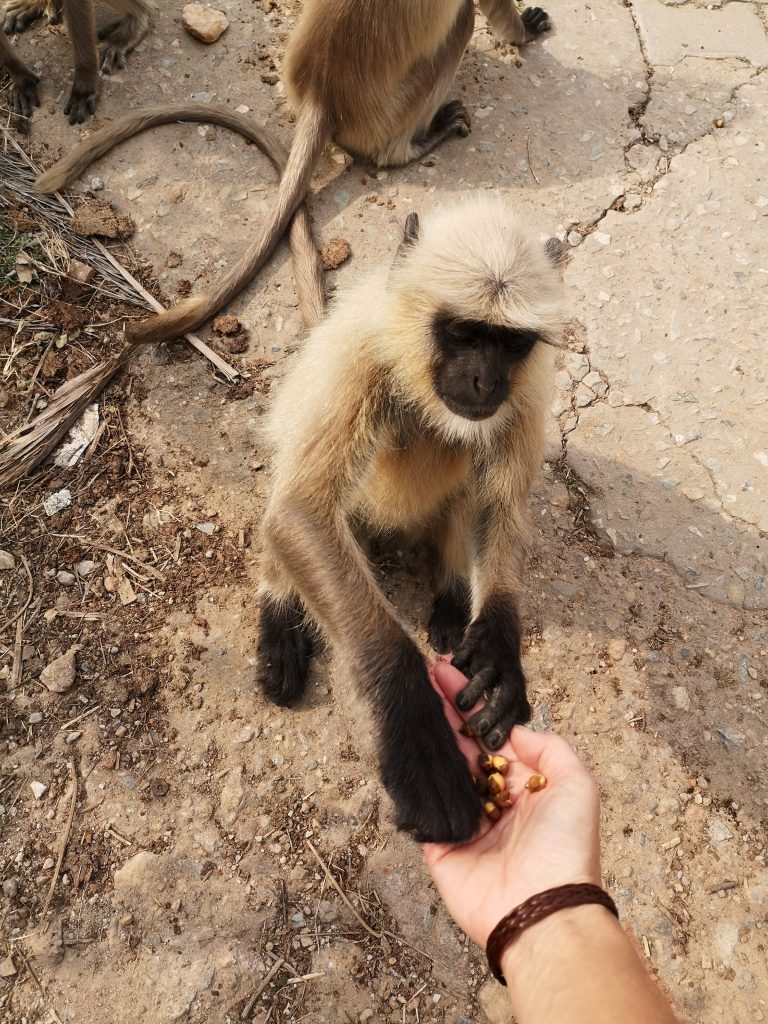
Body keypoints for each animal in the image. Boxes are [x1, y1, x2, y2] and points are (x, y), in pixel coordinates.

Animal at [257, 195, 565, 843]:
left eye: (510, 345)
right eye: (463, 334)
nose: (484, 380)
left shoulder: (524, 390)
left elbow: (502, 505)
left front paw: (499, 649)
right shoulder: (358, 350)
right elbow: (300, 511)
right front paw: (413, 722)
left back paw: (450, 595)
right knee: (289, 496)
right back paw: (281, 615)